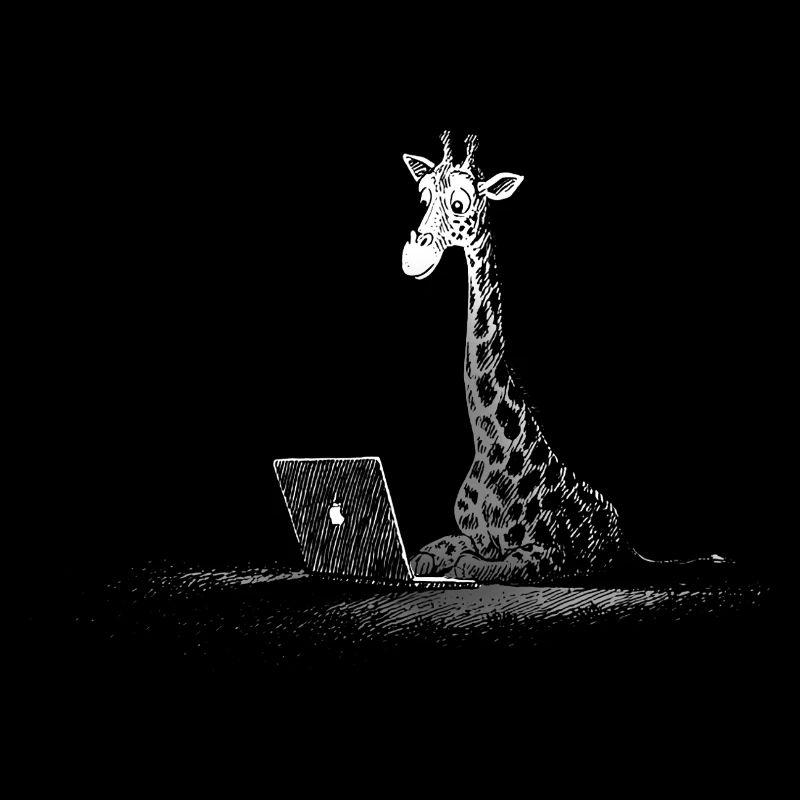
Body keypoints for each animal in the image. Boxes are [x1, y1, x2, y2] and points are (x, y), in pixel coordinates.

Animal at [402, 131, 726, 584]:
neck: (486, 448)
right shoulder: (465, 534)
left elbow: (481, 565)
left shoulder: (549, 554)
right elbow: (428, 553)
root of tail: (626, 539)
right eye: (423, 195)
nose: (413, 259)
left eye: (461, 204)